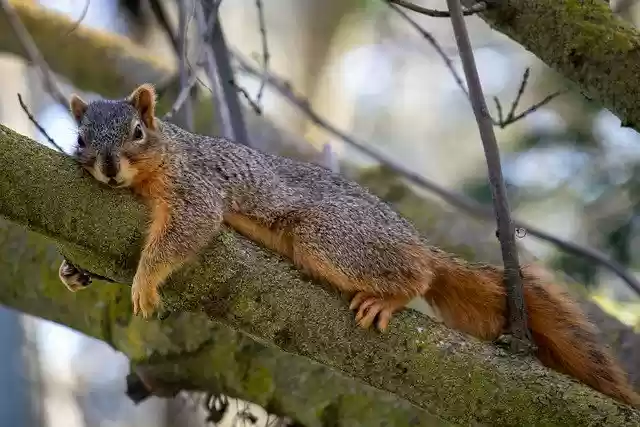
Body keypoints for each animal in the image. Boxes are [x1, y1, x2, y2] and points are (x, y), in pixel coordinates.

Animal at [58, 83, 639, 406]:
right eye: (81, 138)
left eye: (137, 132)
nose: (107, 168)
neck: (158, 160)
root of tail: (415, 240)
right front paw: (74, 271)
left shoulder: (195, 186)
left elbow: (187, 229)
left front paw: (144, 278)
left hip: (330, 236)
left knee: (417, 274)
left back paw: (392, 294)